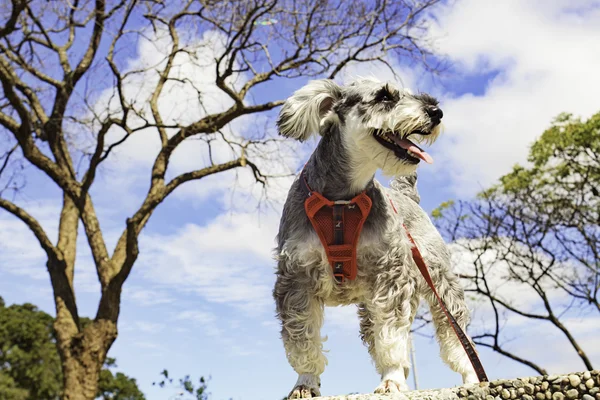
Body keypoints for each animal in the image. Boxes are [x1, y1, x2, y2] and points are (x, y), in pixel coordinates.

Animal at [274, 77, 478, 396]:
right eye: (384, 96)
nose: (436, 112)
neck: (341, 202)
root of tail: (407, 196)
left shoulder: (389, 277)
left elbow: (391, 335)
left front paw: (392, 379)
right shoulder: (296, 282)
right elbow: (302, 339)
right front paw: (305, 382)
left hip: (440, 284)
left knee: (457, 335)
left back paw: (470, 378)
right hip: (374, 304)